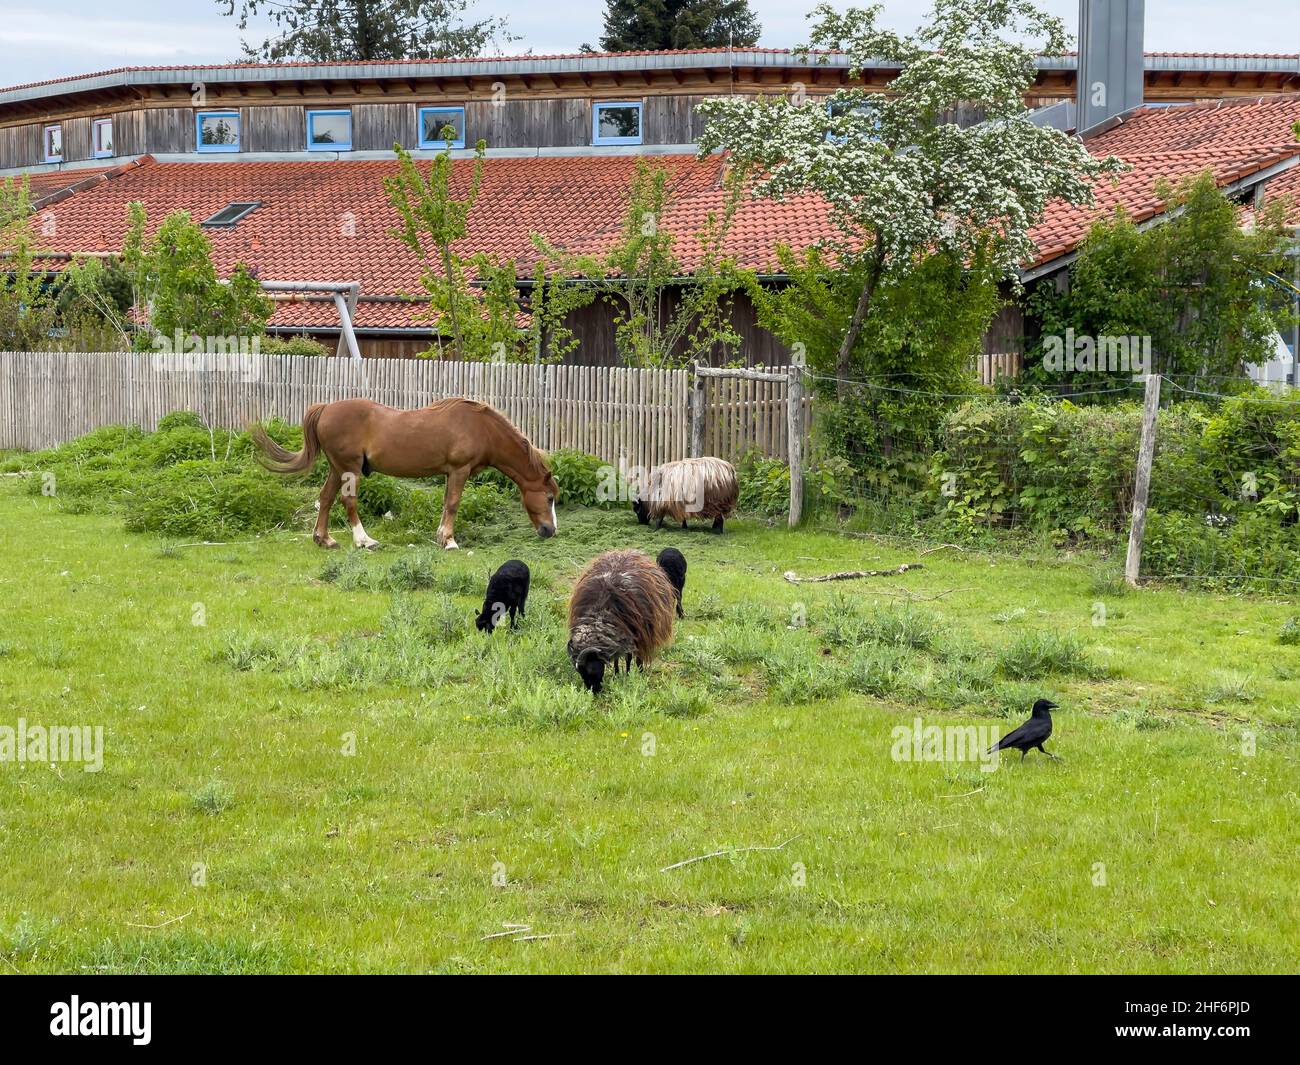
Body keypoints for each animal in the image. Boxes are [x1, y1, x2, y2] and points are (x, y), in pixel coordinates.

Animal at [252, 397, 559, 553]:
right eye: (549, 497)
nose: (550, 530)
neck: (480, 428)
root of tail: (326, 408)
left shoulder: (450, 473)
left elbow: (445, 504)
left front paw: (441, 536)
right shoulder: (460, 471)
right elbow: (453, 504)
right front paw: (450, 541)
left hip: (336, 469)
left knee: (325, 498)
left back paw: (324, 539)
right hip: (350, 469)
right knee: (348, 502)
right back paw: (364, 540)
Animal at [564, 548, 676, 691]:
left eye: (591, 669)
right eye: (580, 672)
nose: (594, 692)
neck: (602, 609)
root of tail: (627, 550)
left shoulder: (636, 635)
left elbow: (632, 658)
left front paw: (632, 674)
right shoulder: (620, 635)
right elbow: (618, 657)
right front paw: (617, 673)